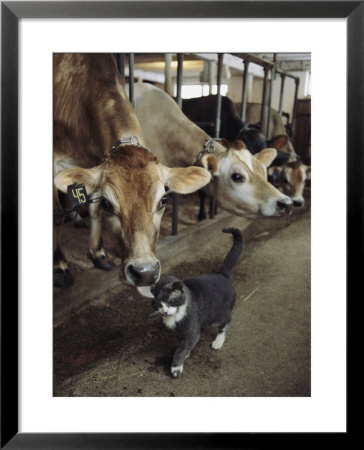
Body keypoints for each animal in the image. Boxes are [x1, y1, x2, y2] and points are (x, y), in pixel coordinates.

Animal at [52, 54, 209, 290]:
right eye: (109, 203)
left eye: (163, 200)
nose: (145, 272)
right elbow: (57, 216)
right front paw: (60, 267)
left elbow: (93, 210)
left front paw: (99, 254)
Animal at [151, 227, 245, 378]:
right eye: (159, 303)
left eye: (171, 300)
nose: (164, 311)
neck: (177, 314)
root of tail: (223, 275)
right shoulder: (181, 332)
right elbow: (185, 344)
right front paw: (186, 353)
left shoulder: (191, 328)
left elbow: (181, 348)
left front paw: (177, 366)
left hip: (218, 315)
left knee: (226, 322)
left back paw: (218, 341)